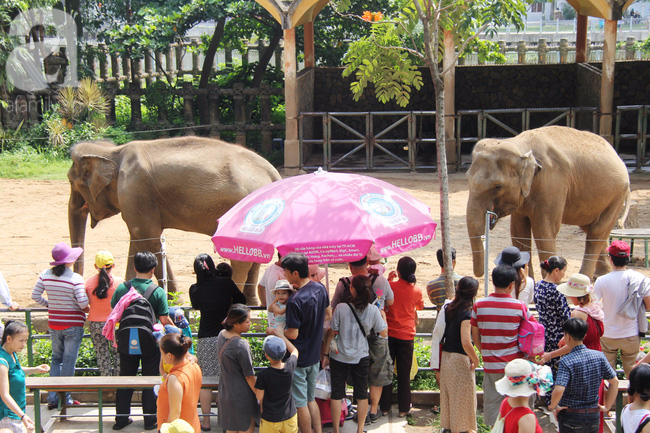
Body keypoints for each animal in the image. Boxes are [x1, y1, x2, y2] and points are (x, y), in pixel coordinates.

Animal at [68, 137, 280, 302]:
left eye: (72, 182)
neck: (112, 152)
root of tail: (274, 174)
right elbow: (138, 239)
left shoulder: (134, 190)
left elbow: (147, 237)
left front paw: (173, 300)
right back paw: (252, 303)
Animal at [466, 126, 628, 278]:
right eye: (468, 178)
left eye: (497, 186)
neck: (519, 144)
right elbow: (518, 232)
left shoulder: (553, 184)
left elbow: (544, 230)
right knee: (590, 227)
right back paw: (601, 274)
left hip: (617, 195)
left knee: (597, 231)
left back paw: (584, 277)